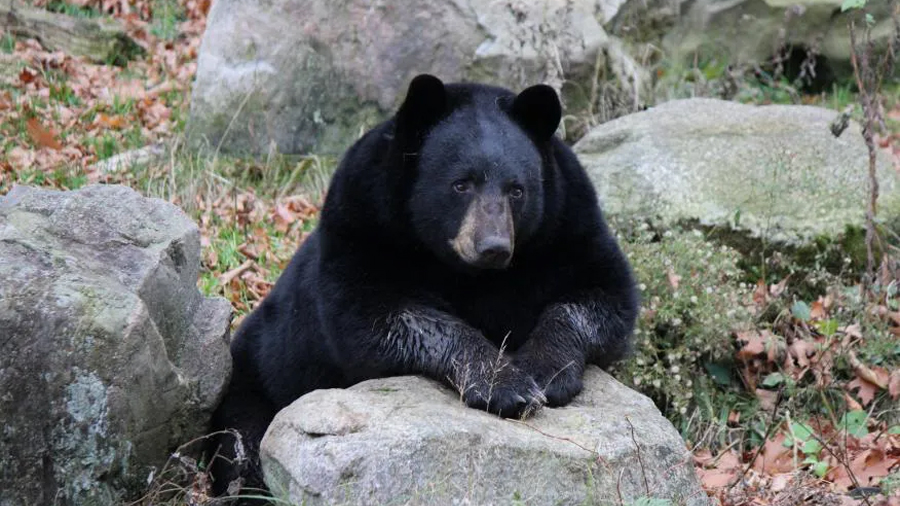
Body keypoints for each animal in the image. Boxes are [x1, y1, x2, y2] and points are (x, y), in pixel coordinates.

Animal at [207, 75, 636, 498]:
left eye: (517, 189)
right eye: (461, 185)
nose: (493, 247)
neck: (468, 271)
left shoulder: (567, 224)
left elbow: (603, 294)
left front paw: (544, 370)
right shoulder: (363, 224)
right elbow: (377, 317)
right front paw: (505, 385)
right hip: (255, 382)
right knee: (244, 447)